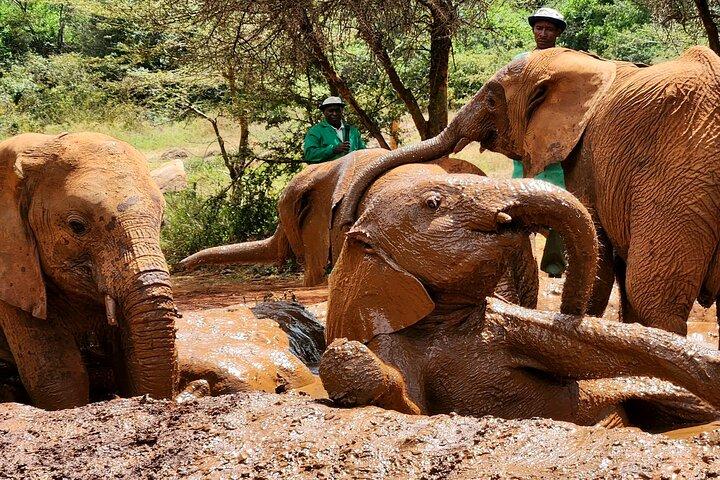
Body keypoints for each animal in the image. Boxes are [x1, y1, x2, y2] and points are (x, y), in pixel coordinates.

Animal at [319, 174, 720, 428]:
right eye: (434, 202)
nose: (571, 306)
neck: (446, 322)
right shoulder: (391, 340)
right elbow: (412, 408)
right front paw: (349, 359)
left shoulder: (504, 321)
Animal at [331, 46, 720, 338]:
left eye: (491, 100)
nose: (347, 221)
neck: (592, 65)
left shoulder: (589, 155)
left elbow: (602, 252)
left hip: (679, 177)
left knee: (655, 297)